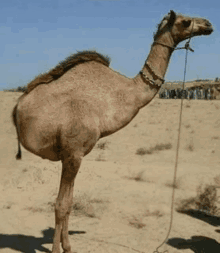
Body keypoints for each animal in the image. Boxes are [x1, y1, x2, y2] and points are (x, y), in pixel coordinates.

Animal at [12, 10, 213, 253]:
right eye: (185, 21)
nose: (208, 24)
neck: (117, 96)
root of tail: (17, 107)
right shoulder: (72, 153)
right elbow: (61, 205)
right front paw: (56, 250)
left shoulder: (73, 156)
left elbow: (69, 203)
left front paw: (68, 247)